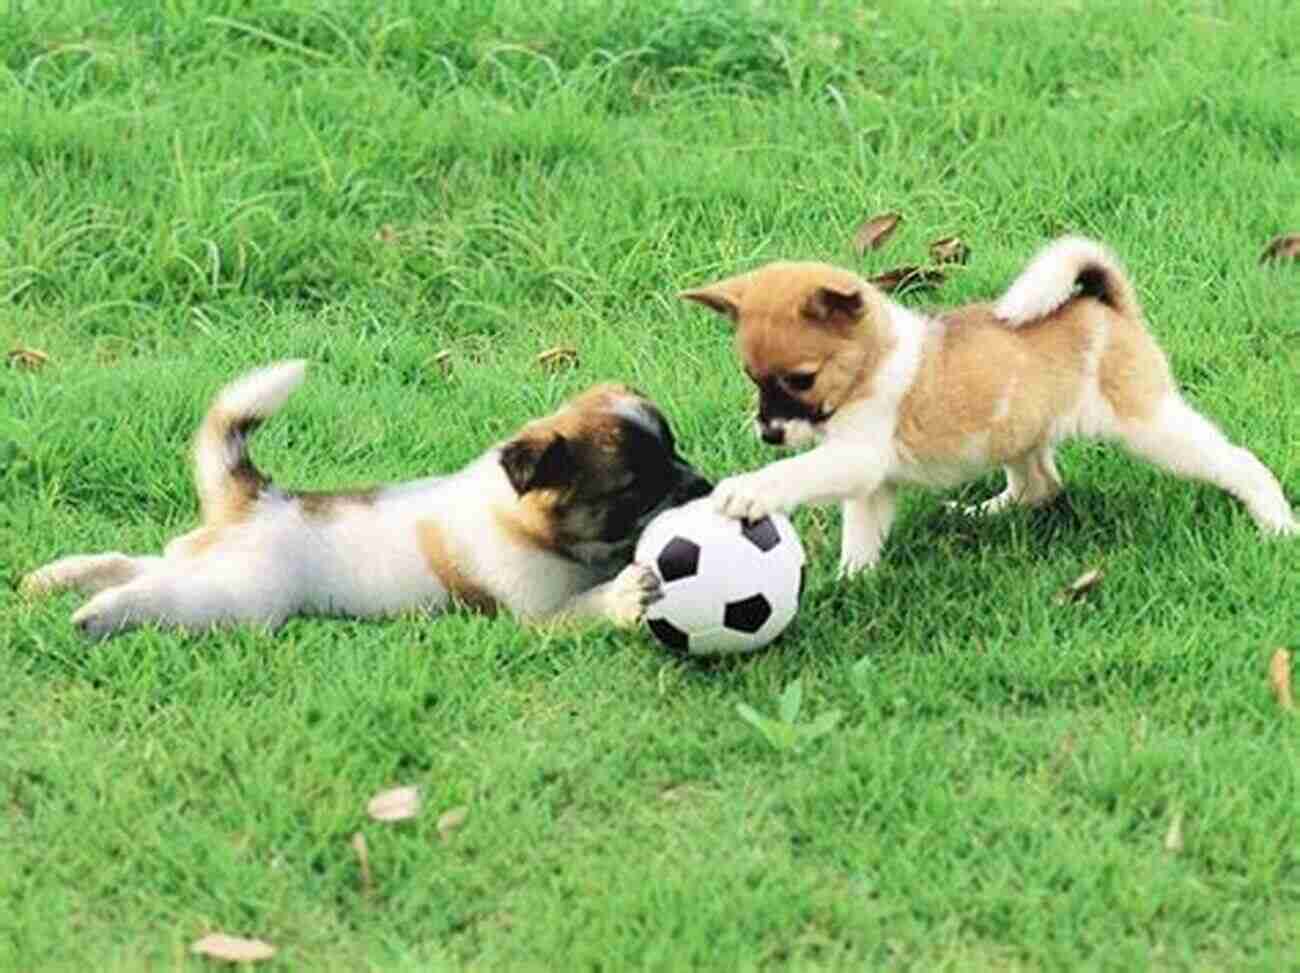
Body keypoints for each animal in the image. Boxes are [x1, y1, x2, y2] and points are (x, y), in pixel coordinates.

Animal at [20, 364, 712, 637]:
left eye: (675, 452)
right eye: (634, 486)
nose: (705, 488)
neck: (526, 522)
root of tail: (260, 498)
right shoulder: (538, 616)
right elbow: (590, 604)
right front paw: (625, 593)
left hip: (209, 563)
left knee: (137, 563)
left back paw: (55, 579)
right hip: (240, 596)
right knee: (159, 594)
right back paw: (100, 613)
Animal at [686, 234, 1294, 574]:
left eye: (801, 379)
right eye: (751, 377)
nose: (769, 434)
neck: (874, 361)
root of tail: (1107, 305)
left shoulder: (856, 459)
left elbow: (796, 473)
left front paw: (749, 490)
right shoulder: (870, 483)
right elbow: (860, 537)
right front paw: (853, 582)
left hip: (1150, 426)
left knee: (1238, 462)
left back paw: (1277, 522)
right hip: (1018, 430)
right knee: (1039, 485)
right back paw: (980, 512)